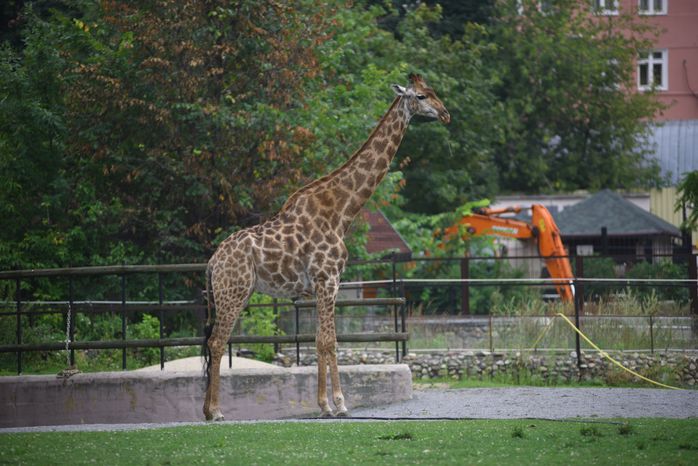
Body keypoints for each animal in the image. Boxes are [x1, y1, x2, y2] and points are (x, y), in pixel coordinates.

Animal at [203, 74, 450, 421]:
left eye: (433, 92)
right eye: (422, 95)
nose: (446, 114)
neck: (342, 211)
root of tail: (212, 262)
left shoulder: (326, 283)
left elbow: (320, 339)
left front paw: (323, 405)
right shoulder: (327, 278)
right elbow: (329, 341)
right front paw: (340, 405)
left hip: (235, 293)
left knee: (214, 341)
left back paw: (207, 410)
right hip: (233, 292)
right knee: (216, 341)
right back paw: (214, 413)